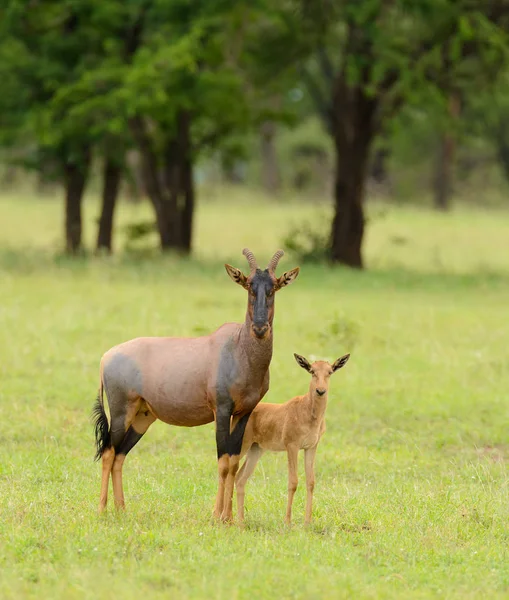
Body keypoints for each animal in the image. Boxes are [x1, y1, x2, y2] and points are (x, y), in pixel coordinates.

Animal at [92, 248, 298, 520]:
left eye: (273, 287)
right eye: (249, 286)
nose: (260, 328)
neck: (238, 346)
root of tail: (106, 357)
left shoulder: (244, 413)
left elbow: (233, 461)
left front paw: (228, 517)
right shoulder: (221, 410)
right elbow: (222, 462)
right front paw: (217, 516)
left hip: (142, 417)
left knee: (120, 455)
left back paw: (122, 510)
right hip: (120, 412)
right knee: (108, 452)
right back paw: (102, 510)